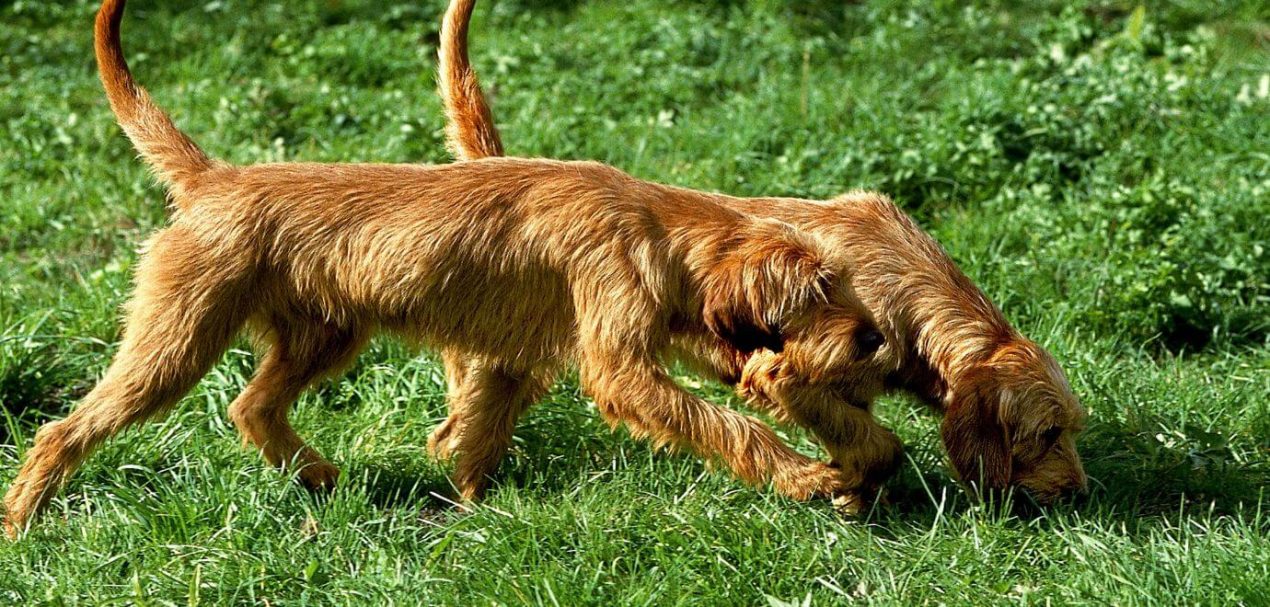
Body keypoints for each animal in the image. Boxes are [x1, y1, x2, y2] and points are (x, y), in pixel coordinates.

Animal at [2, 0, 894, 535]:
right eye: (819, 291)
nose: (873, 338)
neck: (655, 224)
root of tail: (211, 181)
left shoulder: (550, 353)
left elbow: (480, 430)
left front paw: (470, 507)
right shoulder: (620, 362)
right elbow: (726, 424)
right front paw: (807, 478)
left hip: (322, 337)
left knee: (252, 406)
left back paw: (318, 473)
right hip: (176, 340)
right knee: (64, 427)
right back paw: (22, 516)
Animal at [431, 0, 1087, 507]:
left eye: (1072, 429)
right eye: (1047, 433)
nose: (1080, 492)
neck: (909, 287)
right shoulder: (787, 373)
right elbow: (875, 441)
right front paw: (845, 483)